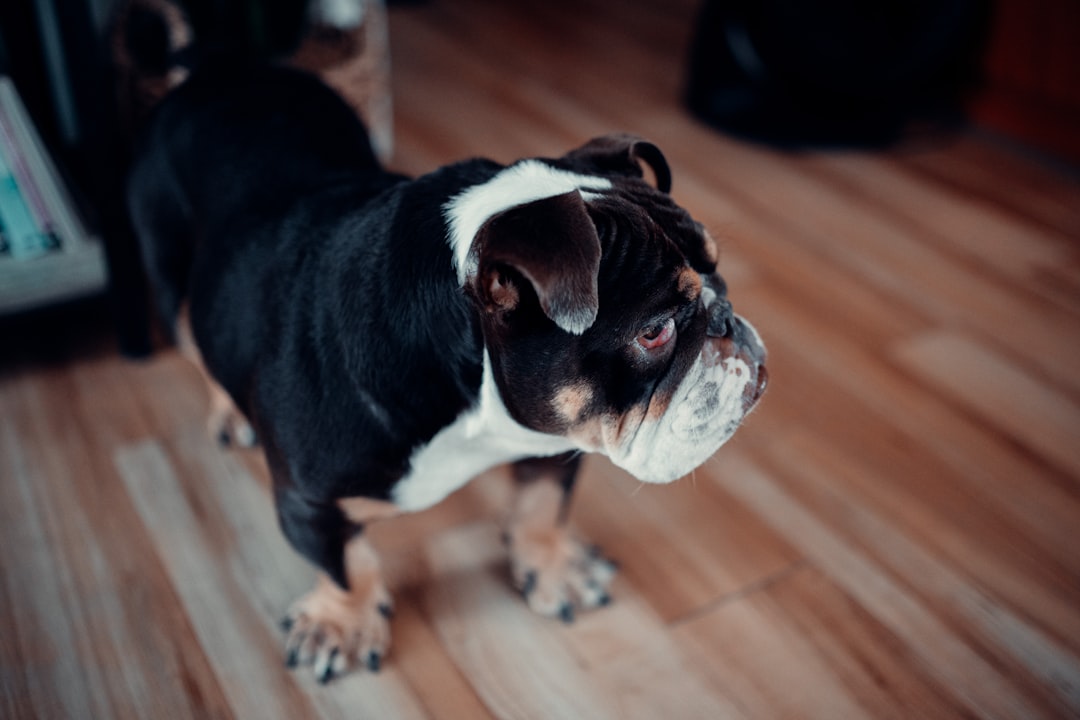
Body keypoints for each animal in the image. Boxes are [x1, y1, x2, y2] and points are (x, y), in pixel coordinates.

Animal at [126, 60, 768, 682]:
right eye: (654, 331)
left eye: (717, 271)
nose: (728, 319)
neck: (478, 410)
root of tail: (211, 73)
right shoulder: (309, 503)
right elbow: (344, 565)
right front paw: (342, 624)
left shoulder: (557, 434)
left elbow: (542, 504)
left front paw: (552, 566)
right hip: (173, 284)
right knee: (196, 342)